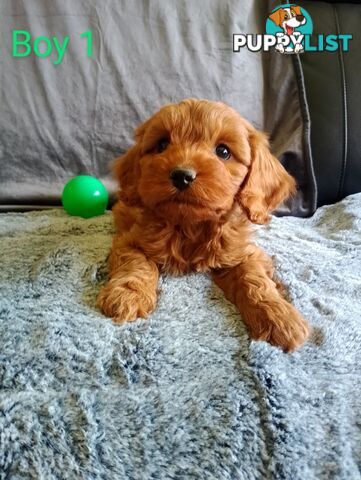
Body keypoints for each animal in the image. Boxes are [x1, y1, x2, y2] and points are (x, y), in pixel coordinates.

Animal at [98, 98, 310, 352]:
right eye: (162, 144)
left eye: (223, 151)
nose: (182, 175)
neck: (190, 225)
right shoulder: (129, 241)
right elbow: (136, 264)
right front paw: (126, 296)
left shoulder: (244, 252)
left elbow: (254, 278)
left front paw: (279, 316)